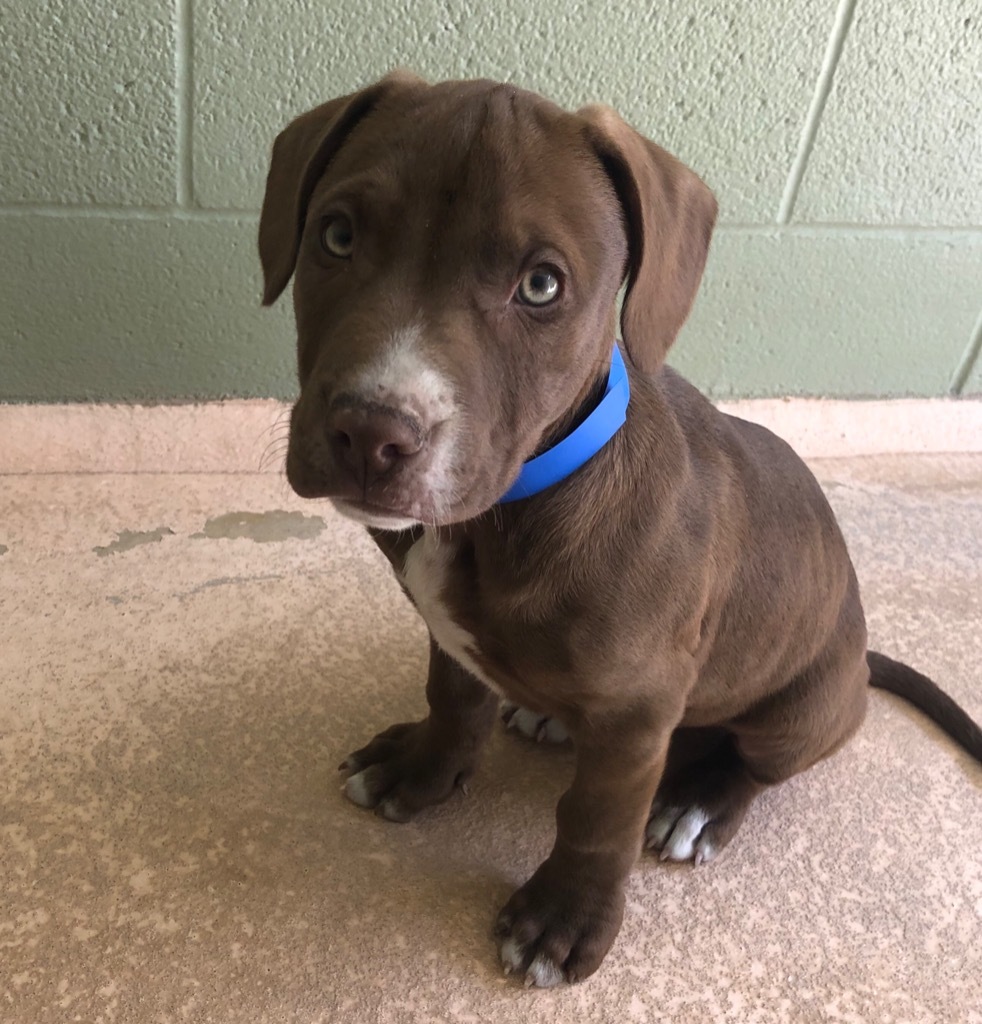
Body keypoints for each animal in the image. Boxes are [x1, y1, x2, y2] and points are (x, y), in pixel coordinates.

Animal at [259, 70, 982, 983]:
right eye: (339, 235)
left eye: (541, 286)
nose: (371, 432)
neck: (506, 513)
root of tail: (860, 660)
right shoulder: (450, 634)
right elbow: (453, 697)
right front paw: (420, 769)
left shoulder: (639, 713)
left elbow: (598, 816)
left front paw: (562, 917)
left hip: (800, 707)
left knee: (755, 765)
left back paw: (697, 803)